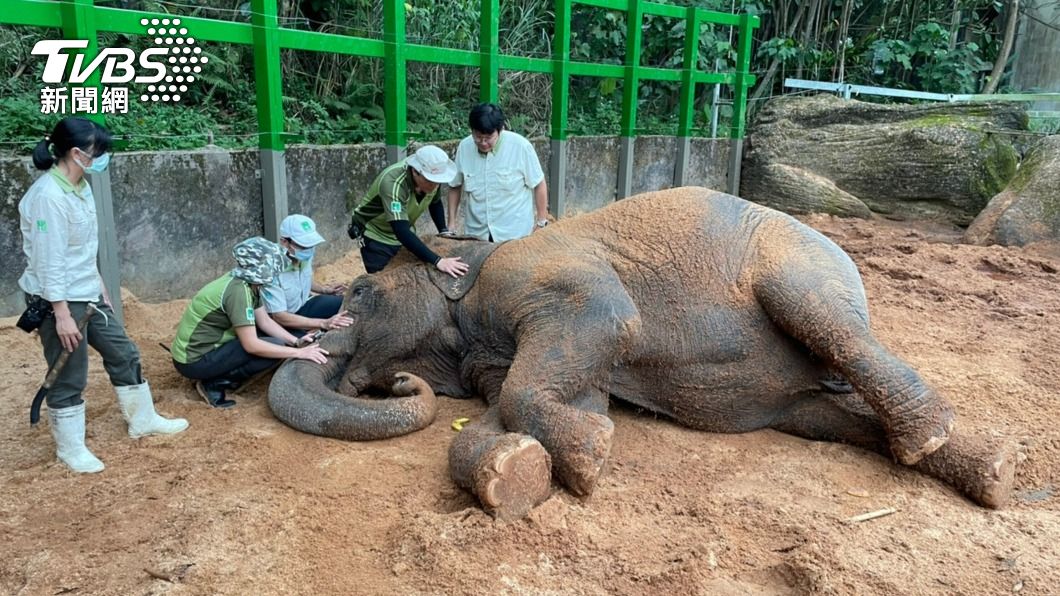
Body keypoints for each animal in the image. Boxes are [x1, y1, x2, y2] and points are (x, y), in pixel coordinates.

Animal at [268, 187, 1015, 520]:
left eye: (362, 291)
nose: (395, 382)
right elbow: (550, 393)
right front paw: (517, 472)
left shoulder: (545, 278)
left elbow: (600, 331)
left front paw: (591, 458)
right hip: (803, 397)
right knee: (829, 419)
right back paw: (991, 472)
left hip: (802, 264)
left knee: (822, 318)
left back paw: (931, 437)